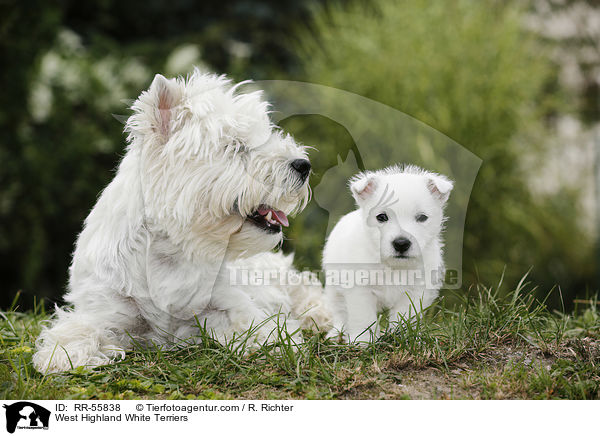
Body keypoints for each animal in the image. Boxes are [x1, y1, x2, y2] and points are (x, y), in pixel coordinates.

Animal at [34, 70, 328, 372]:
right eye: (236, 146)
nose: (303, 165)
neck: (172, 249)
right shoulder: (107, 308)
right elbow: (83, 329)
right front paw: (63, 356)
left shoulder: (226, 302)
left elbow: (255, 324)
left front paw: (279, 344)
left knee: (305, 290)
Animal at [324, 165, 450, 342]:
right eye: (381, 217)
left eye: (422, 217)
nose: (401, 243)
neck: (392, 266)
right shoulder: (360, 289)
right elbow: (363, 318)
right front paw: (363, 341)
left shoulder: (415, 291)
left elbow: (405, 316)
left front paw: (404, 338)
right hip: (334, 288)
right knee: (340, 312)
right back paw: (336, 334)